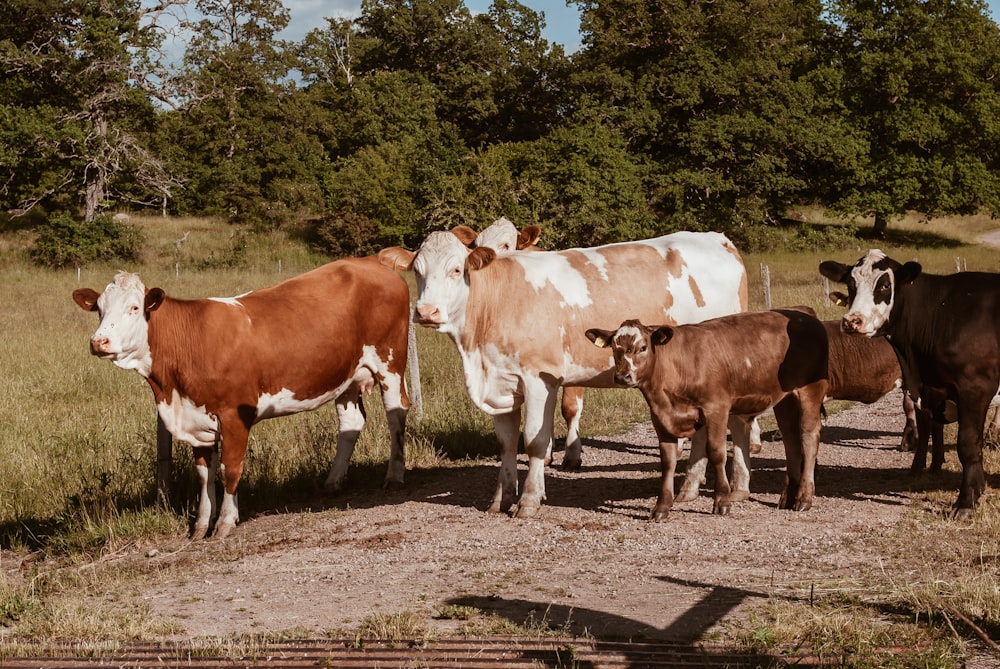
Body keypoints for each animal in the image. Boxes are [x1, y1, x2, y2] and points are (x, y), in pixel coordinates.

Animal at [73, 258, 410, 540]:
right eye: (99, 309)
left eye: (133, 308)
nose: (99, 342)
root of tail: (372, 261)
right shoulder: (197, 417)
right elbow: (204, 474)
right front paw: (201, 526)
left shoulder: (234, 415)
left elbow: (230, 469)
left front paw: (225, 522)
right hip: (346, 375)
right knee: (351, 422)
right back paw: (333, 482)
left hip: (390, 361)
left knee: (397, 413)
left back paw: (394, 476)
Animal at [378, 230, 748, 516]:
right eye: (418, 271)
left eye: (456, 269)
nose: (426, 311)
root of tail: (717, 239)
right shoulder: (500, 381)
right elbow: (507, 443)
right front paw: (501, 499)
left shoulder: (539, 379)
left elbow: (535, 440)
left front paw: (528, 501)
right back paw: (691, 487)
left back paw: (722, 487)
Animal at [584, 310, 828, 520]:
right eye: (614, 348)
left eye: (643, 347)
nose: (622, 377)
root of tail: (807, 318)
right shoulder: (660, 417)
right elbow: (668, 461)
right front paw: (662, 506)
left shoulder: (716, 408)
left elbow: (717, 453)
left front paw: (722, 501)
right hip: (785, 400)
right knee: (791, 440)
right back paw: (787, 497)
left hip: (810, 390)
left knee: (809, 438)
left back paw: (804, 497)